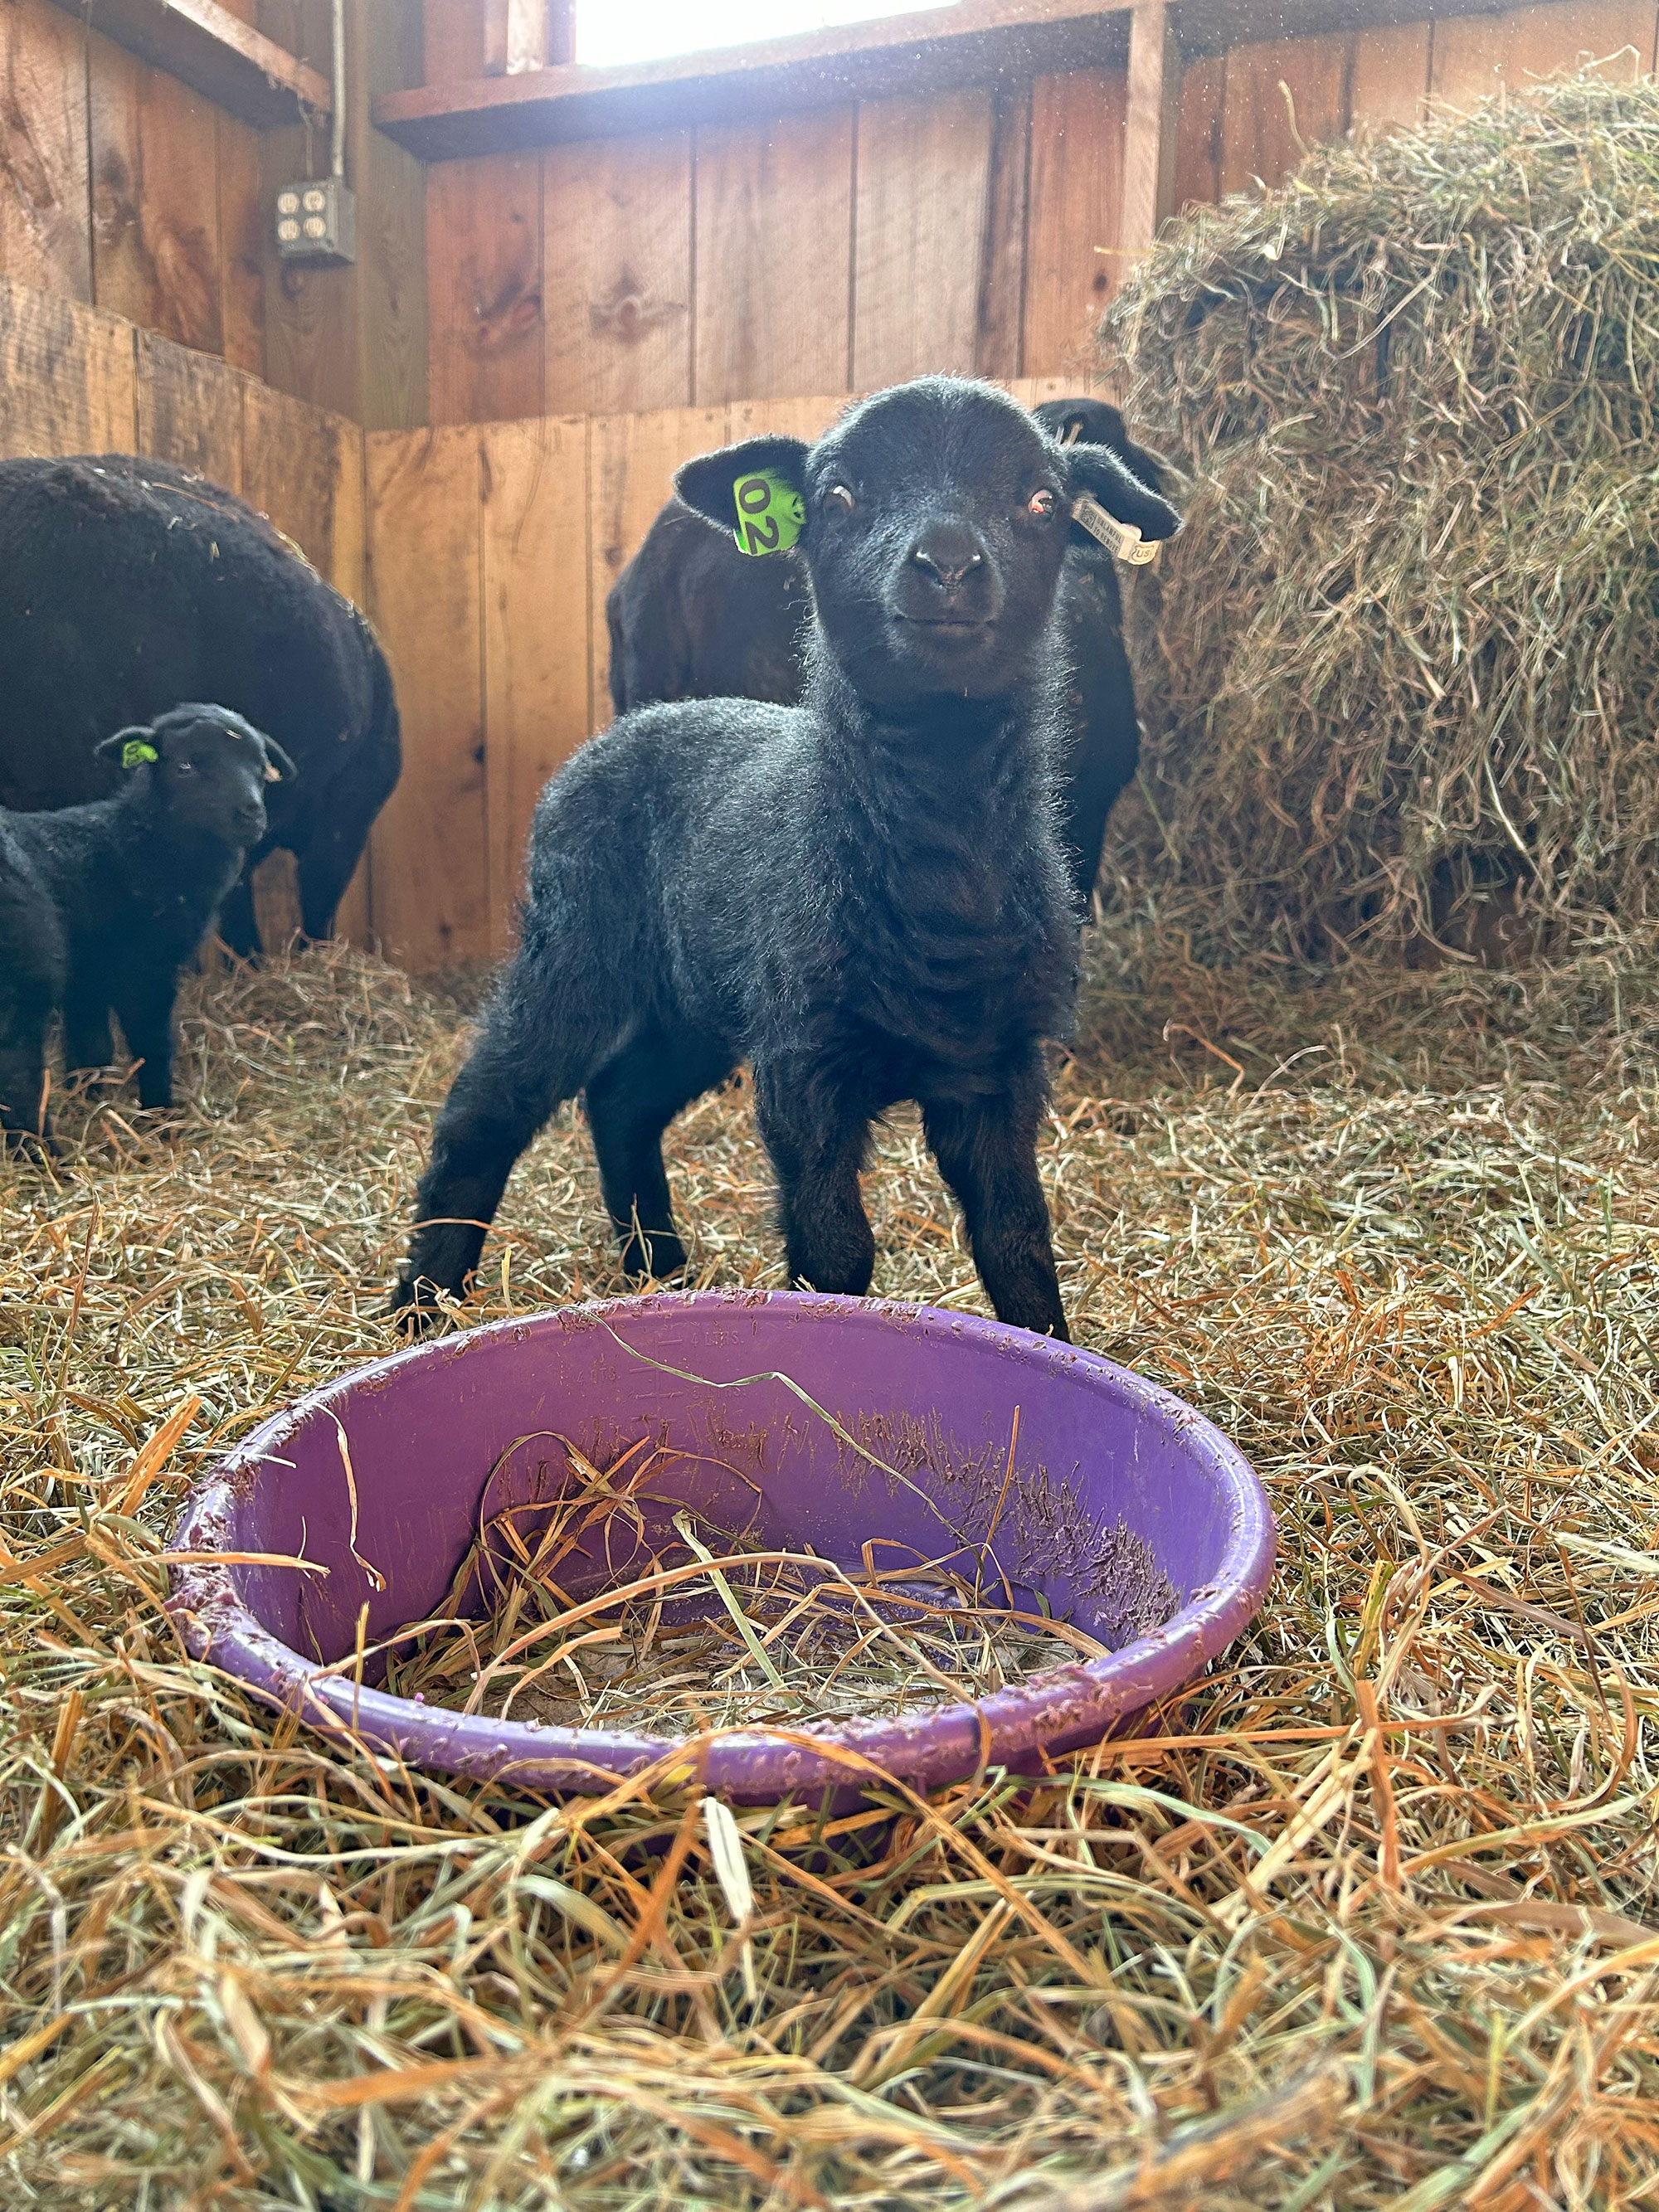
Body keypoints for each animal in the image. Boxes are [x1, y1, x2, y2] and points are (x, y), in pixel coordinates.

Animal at [0, 705, 296, 1151]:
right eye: (184, 766)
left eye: (261, 768)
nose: (251, 813)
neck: (141, 843)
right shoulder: (144, 965)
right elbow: (153, 1042)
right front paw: (161, 1117)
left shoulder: (89, 972)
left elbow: (90, 1044)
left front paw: (92, 1100)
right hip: (21, 982)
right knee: (17, 1079)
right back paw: (45, 1156)